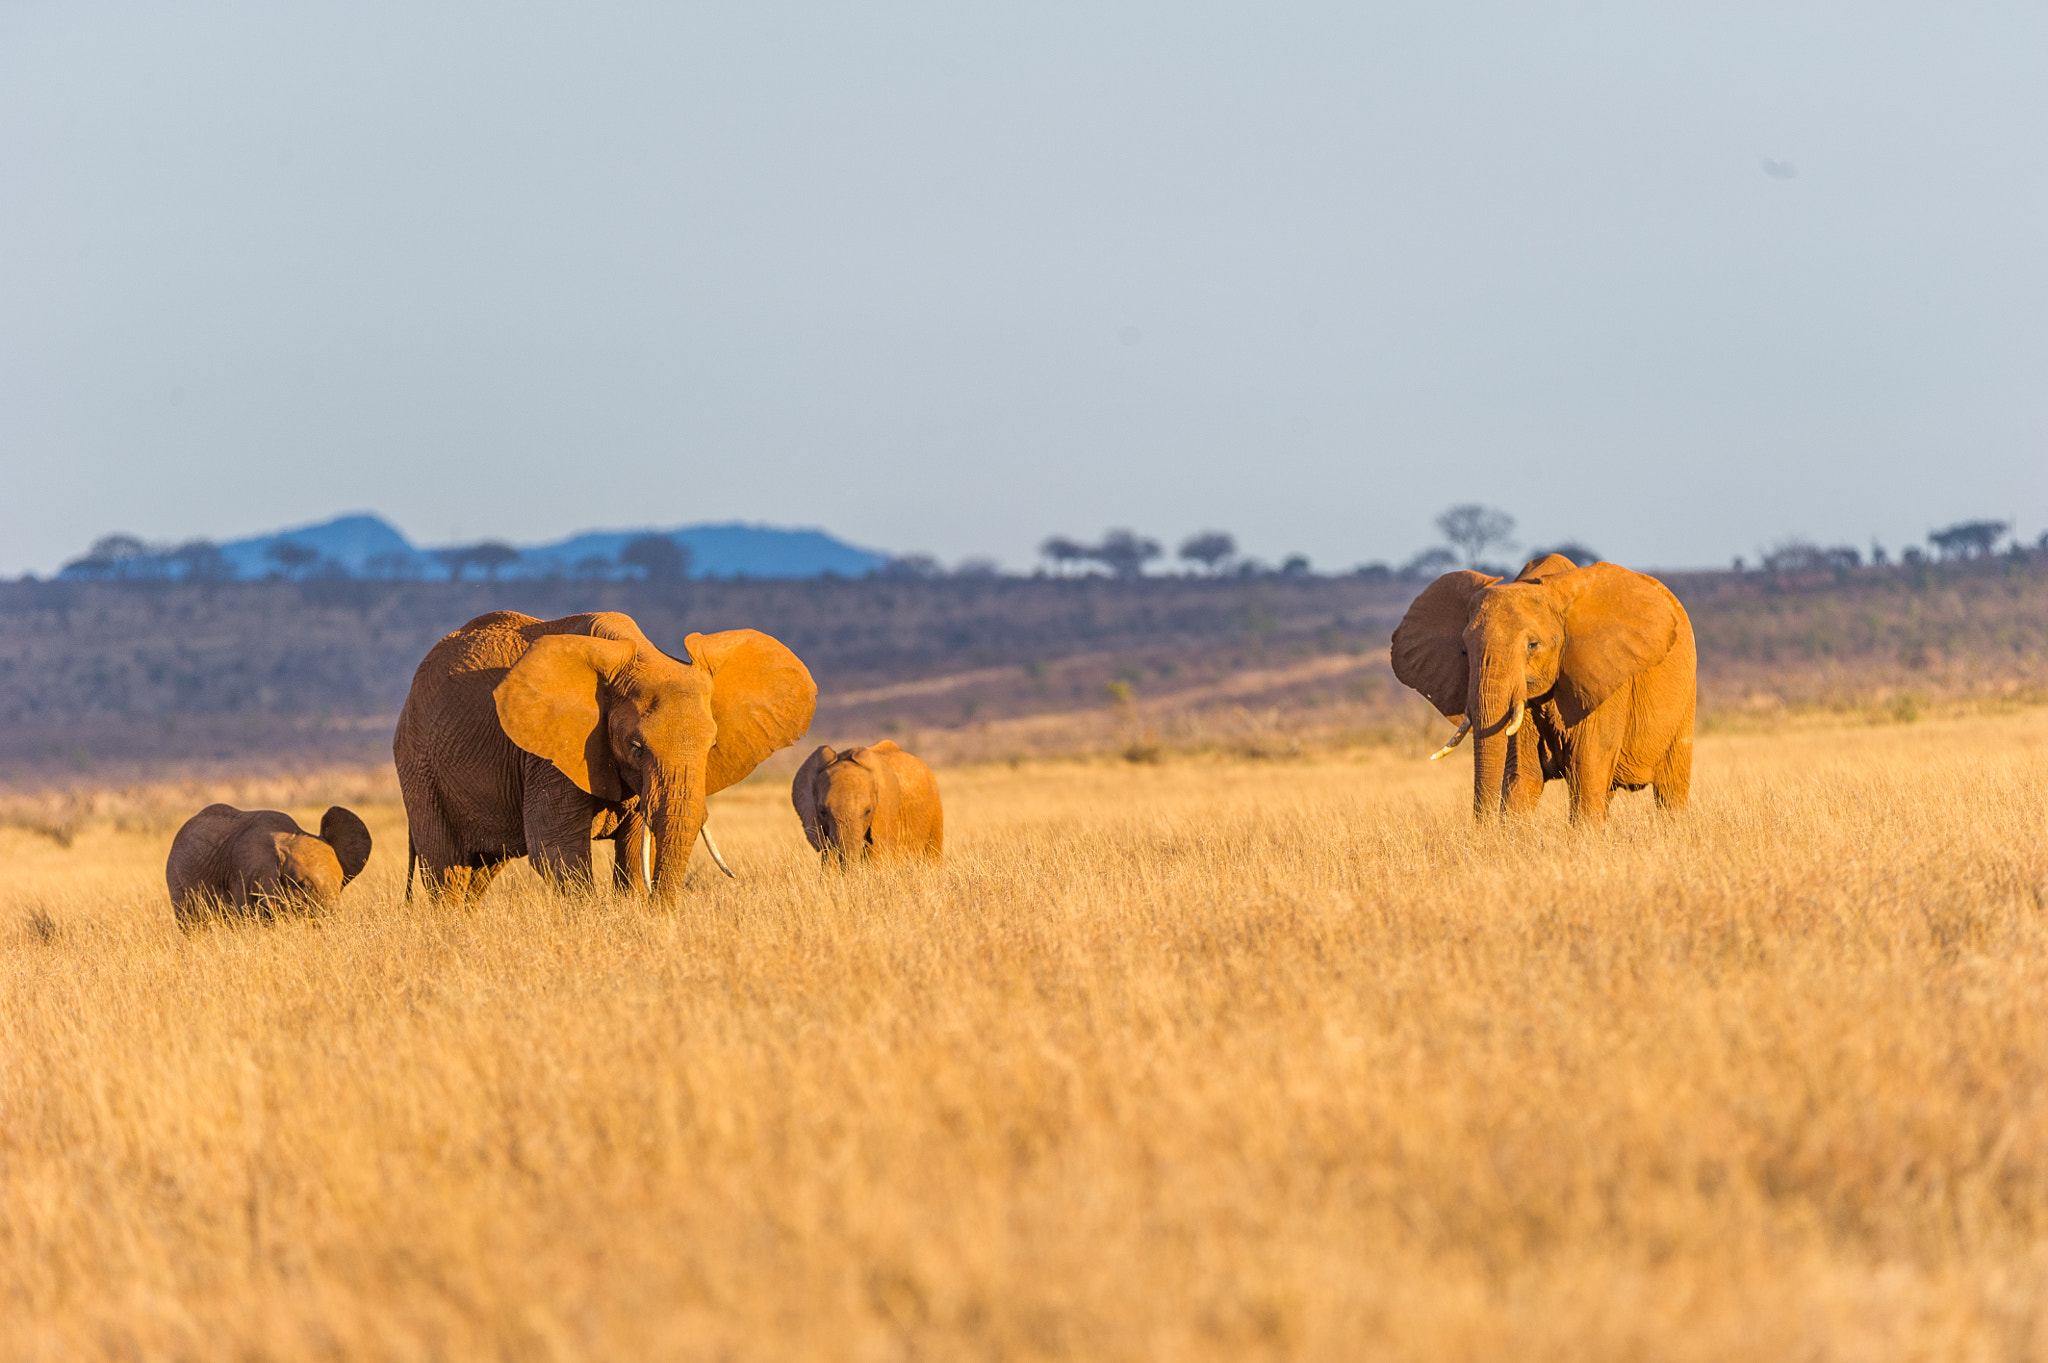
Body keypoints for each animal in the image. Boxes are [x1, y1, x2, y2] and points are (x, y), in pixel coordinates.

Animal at [393, 611, 816, 904]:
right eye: (636, 747)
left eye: (712, 748)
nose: (659, 909)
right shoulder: (549, 755)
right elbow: (557, 852)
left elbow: (633, 849)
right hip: (419, 765)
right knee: (447, 870)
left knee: (481, 871)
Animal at [1390, 554, 1696, 823]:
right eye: (1464, 651)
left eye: (1533, 645)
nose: (1481, 831)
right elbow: (1522, 776)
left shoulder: (1604, 683)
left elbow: (1587, 770)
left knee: (1670, 792)